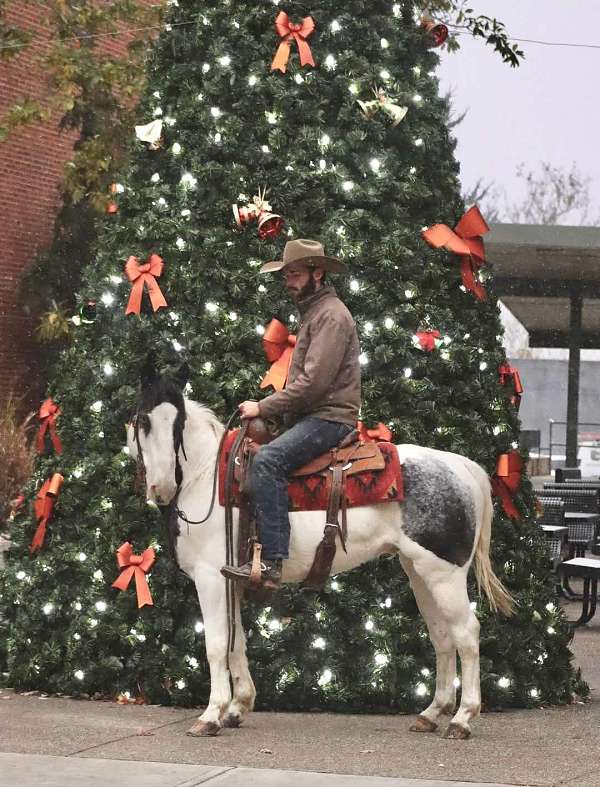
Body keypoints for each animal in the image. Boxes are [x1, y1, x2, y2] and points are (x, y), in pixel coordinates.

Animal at [129, 372, 512, 740]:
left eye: (177, 423)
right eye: (143, 420)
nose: (161, 488)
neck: (207, 476)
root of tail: (460, 467)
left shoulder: (210, 578)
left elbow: (217, 643)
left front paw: (211, 716)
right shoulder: (230, 580)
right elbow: (237, 642)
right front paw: (237, 708)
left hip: (444, 575)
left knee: (466, 633)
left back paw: (462, 719)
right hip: (419, 572)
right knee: (442, 635)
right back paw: (431, 714)